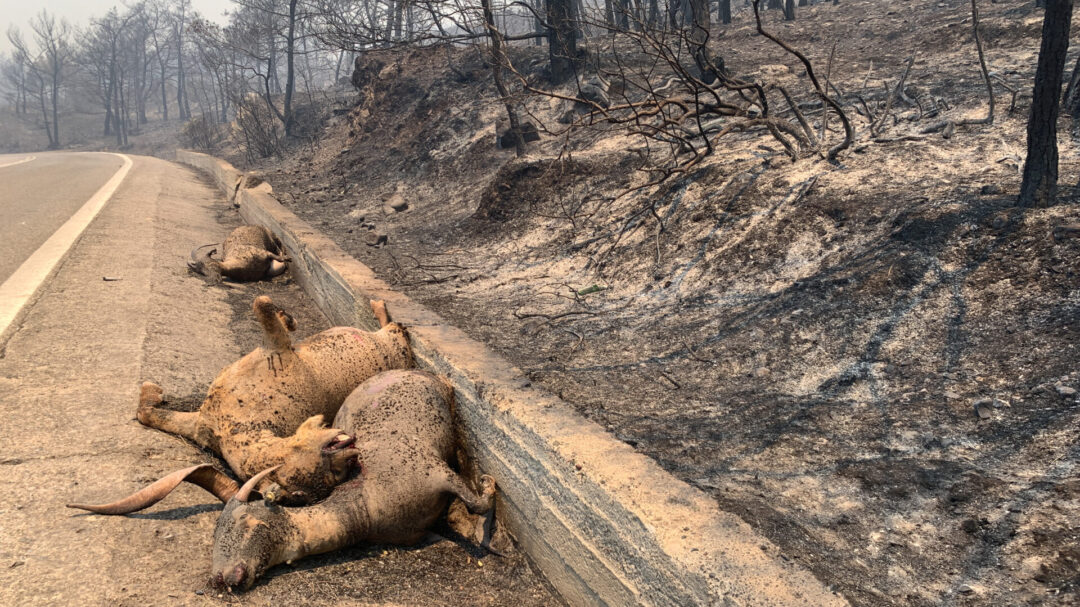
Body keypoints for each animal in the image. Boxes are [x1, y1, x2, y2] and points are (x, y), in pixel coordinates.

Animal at [66, 293, 412, 509]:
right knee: (392, 329)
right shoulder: (203, 420)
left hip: (393, 346)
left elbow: (262, 304)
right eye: (330, 475)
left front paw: (288, 318)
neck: (237, 425)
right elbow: (147, 413)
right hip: (392, 344)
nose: (353, 453)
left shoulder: (278, 351)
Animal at [211, 367, 496, 587]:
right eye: (216, 530)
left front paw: (489, 485)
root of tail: (426, 373)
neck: (363, 504)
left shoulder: (435, 469)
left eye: (242, 521)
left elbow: (477, 504)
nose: (219, 578)